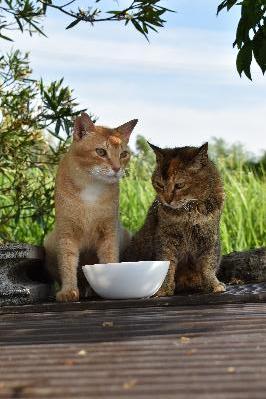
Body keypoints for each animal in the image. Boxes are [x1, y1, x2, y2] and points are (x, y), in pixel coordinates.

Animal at [43, 111, 137, 300]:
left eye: (123, 154)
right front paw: (68, 291)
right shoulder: (66, 234)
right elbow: (67, 263)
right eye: (101, 152)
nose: (117, 168)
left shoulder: (109, 232)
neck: (91, 187)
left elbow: (110, 260)